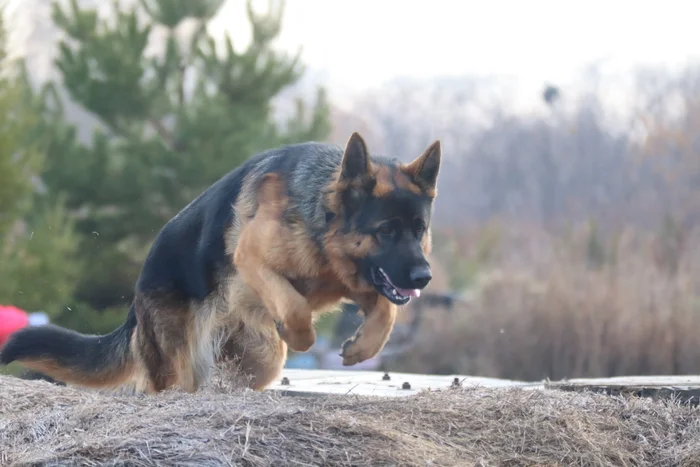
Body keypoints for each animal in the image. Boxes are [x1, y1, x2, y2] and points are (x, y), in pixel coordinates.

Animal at [0, 133, 440, 394]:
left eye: (419, 230)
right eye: (385, 231)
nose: (425, 277)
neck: (322, 222)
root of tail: (135, 305)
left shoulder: (362, 281)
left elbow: (385, 312)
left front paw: (362, 347)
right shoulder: (252, 258)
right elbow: (295, 306)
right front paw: (300, 335)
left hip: (258, 359)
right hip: (183, 363)